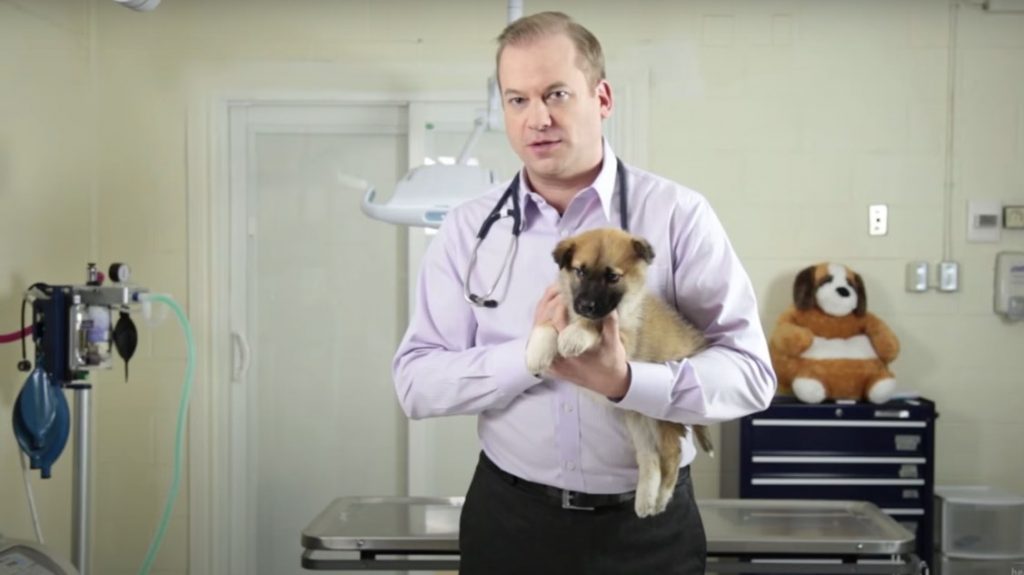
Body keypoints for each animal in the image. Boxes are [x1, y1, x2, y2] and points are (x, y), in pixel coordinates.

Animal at [528, 227, 712, 515]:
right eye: (579, 271)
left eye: (612, 277)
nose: (586, 306)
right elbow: (548, 323)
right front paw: (537, 350)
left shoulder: (622, 341)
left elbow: (596, 324)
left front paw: (576, 334)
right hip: (637, 418)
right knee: (649, 458)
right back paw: (645, 499)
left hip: (663, 418)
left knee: (672, 455)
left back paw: (661, 499)